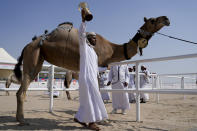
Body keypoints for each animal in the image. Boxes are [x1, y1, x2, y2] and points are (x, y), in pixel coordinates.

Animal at [13, 15, 169, 124]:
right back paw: (22, 120)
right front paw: (102, 118)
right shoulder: (97, 65)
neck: (111, 49)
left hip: (38, 58)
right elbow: (97, 90)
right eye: (153, 20)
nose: (166, 18)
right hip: (34, 55)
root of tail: (27, 46)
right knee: (22, 91)